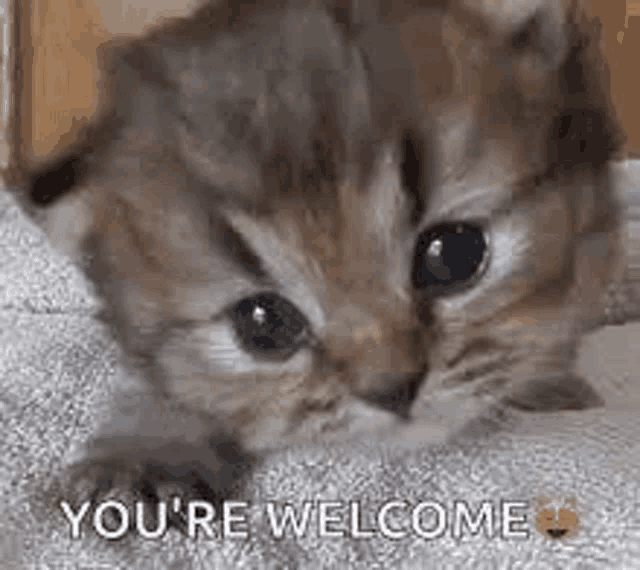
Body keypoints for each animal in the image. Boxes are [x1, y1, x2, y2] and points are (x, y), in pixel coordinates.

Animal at [13, 0, 624, 516]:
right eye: (264, 324)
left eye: (453, 254)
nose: (393, 391)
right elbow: (162, 387)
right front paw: (145, 450)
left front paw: (549, 381)